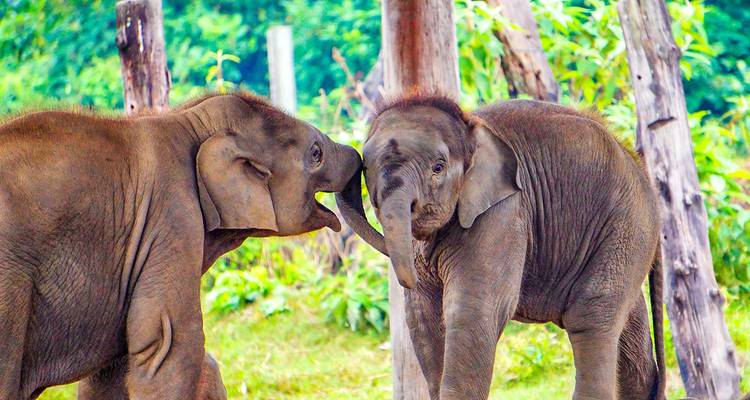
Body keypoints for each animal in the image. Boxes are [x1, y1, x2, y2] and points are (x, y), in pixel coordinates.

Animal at [0, 92, 361, 399]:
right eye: (316, 153)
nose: (360, 156)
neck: (188, 120)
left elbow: (117, 362)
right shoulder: (173, 217)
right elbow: (167, 343)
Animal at [336, 95, 666, 400]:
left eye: (438, 167)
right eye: (367, 168)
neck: (469, 126)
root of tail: (637, 163)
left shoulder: (503, 212)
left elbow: (474, 311)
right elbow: (423, 318)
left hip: (627, 223)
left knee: (591, 318)